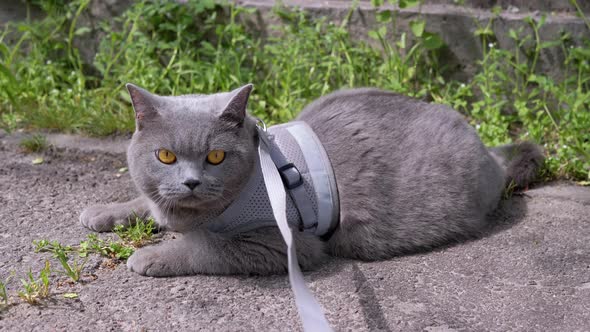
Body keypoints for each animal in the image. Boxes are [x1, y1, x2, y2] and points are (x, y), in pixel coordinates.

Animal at [80, 84, 544, 276]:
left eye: (215, 156)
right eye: (166, 156)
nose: (192, 182)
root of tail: (487, 148)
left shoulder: (280, 243)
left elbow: (205, 246)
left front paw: (151, 256)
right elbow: (145, 201)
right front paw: (101, 212)